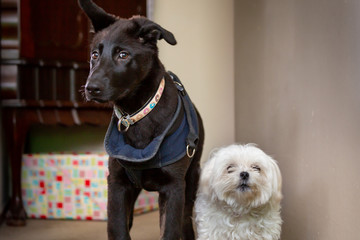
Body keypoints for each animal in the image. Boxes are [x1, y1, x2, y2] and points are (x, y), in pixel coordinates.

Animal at [78, 0, 202, 239]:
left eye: (123, 55)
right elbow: (117, 229)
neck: (137, 112)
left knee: (184, 221)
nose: (90, 88)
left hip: (191, 180)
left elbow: (170, 230)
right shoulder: (117, 185)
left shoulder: (174, 187)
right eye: (95, 55)